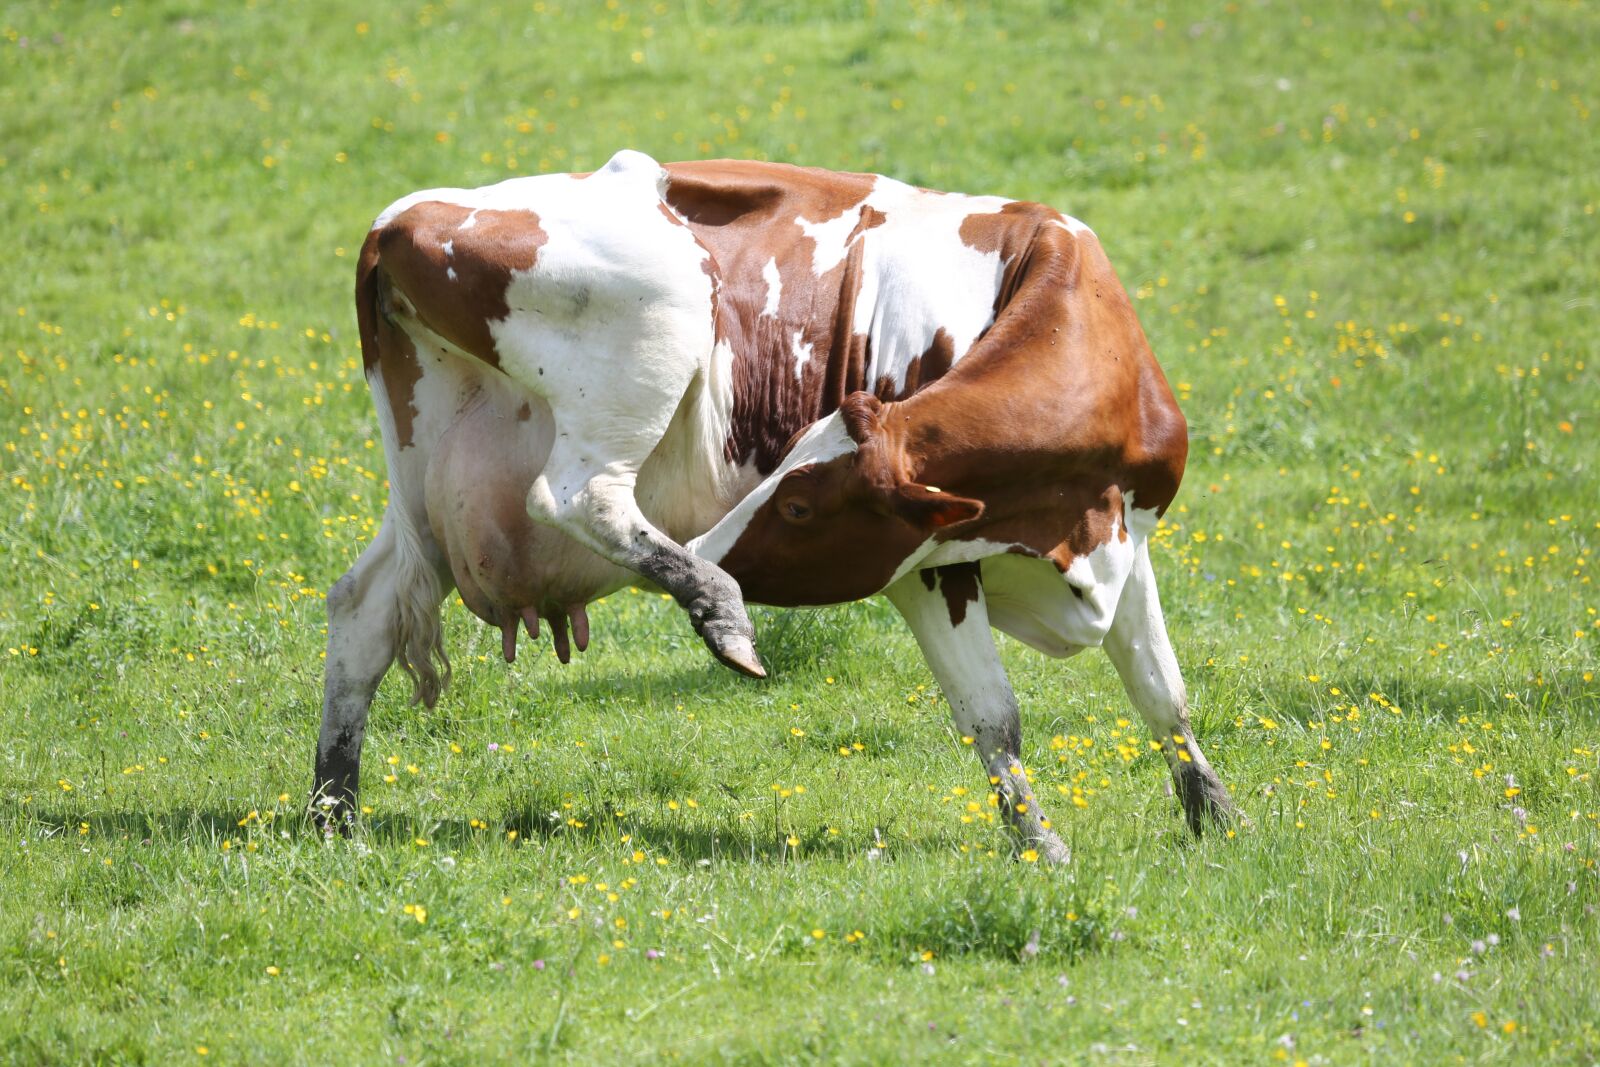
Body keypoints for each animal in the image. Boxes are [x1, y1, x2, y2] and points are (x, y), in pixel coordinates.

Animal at [312, 149, 1234, 860]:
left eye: (796, 506)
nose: (717, 547)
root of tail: (401, 218)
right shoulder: (927, 570)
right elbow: (994, 718)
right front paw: (1040, 842)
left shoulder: (1129, 543)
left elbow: (1164, 693)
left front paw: (1220, 816)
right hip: (656, 330)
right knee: (578, 493)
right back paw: (714, 602)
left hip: (429, 480)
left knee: (364, 606)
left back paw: (332, 811)